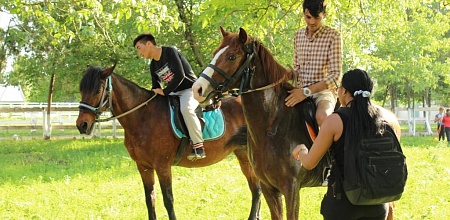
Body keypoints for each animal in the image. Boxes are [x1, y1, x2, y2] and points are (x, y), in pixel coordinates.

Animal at [76, 65, 262, 220]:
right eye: (81, 89)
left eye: (97, 90)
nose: (82, 125)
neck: (144, 116)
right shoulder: (143, 166)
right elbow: (149, 199)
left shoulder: (162, 166)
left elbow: (168, 200)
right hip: (243, 154)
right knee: (256, 188)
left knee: (257, 188)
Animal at [192, 27, 400, 220]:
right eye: (215, 53)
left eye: (231, 56)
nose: (198, 89)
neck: (271, 127)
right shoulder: (269, 188)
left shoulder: (291, 188)